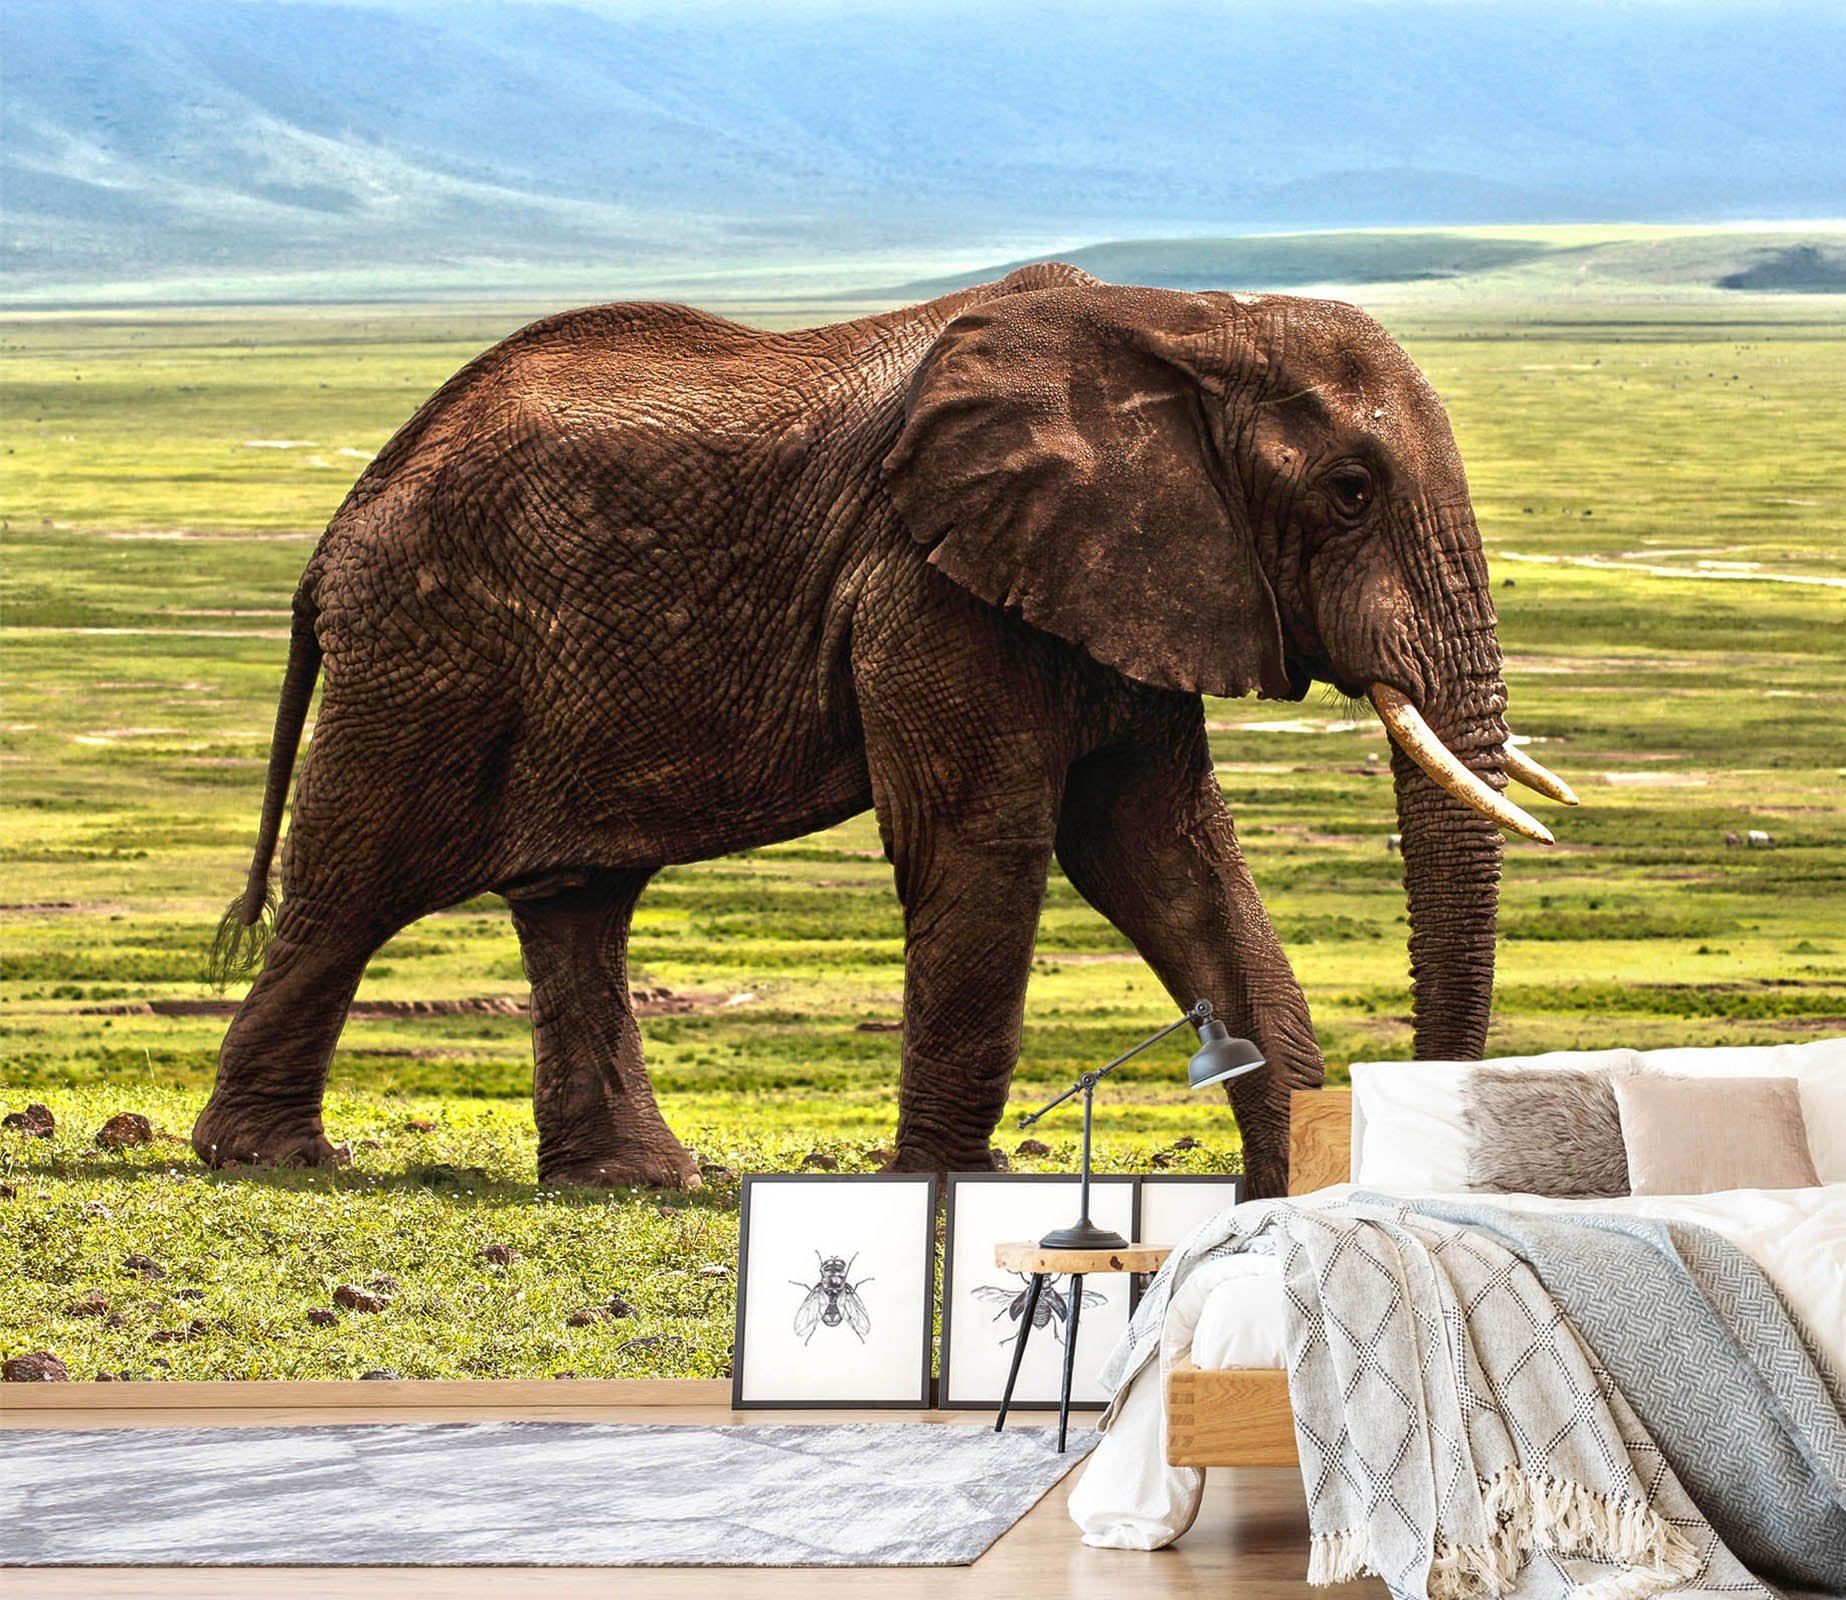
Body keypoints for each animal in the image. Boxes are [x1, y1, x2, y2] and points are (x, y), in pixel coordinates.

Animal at [195, 261, 1576, 1198]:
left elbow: (1168, 860)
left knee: (576, 899)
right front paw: (949, 1193)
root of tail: (344, 518)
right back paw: (270, 1159)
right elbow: (989, 842)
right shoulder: (932, 581)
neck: (1186, 320)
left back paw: (635, 1180)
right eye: (1348, 492)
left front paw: (1291, 1191)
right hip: (426, 651)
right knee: (355, 883)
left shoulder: (1128, 579)